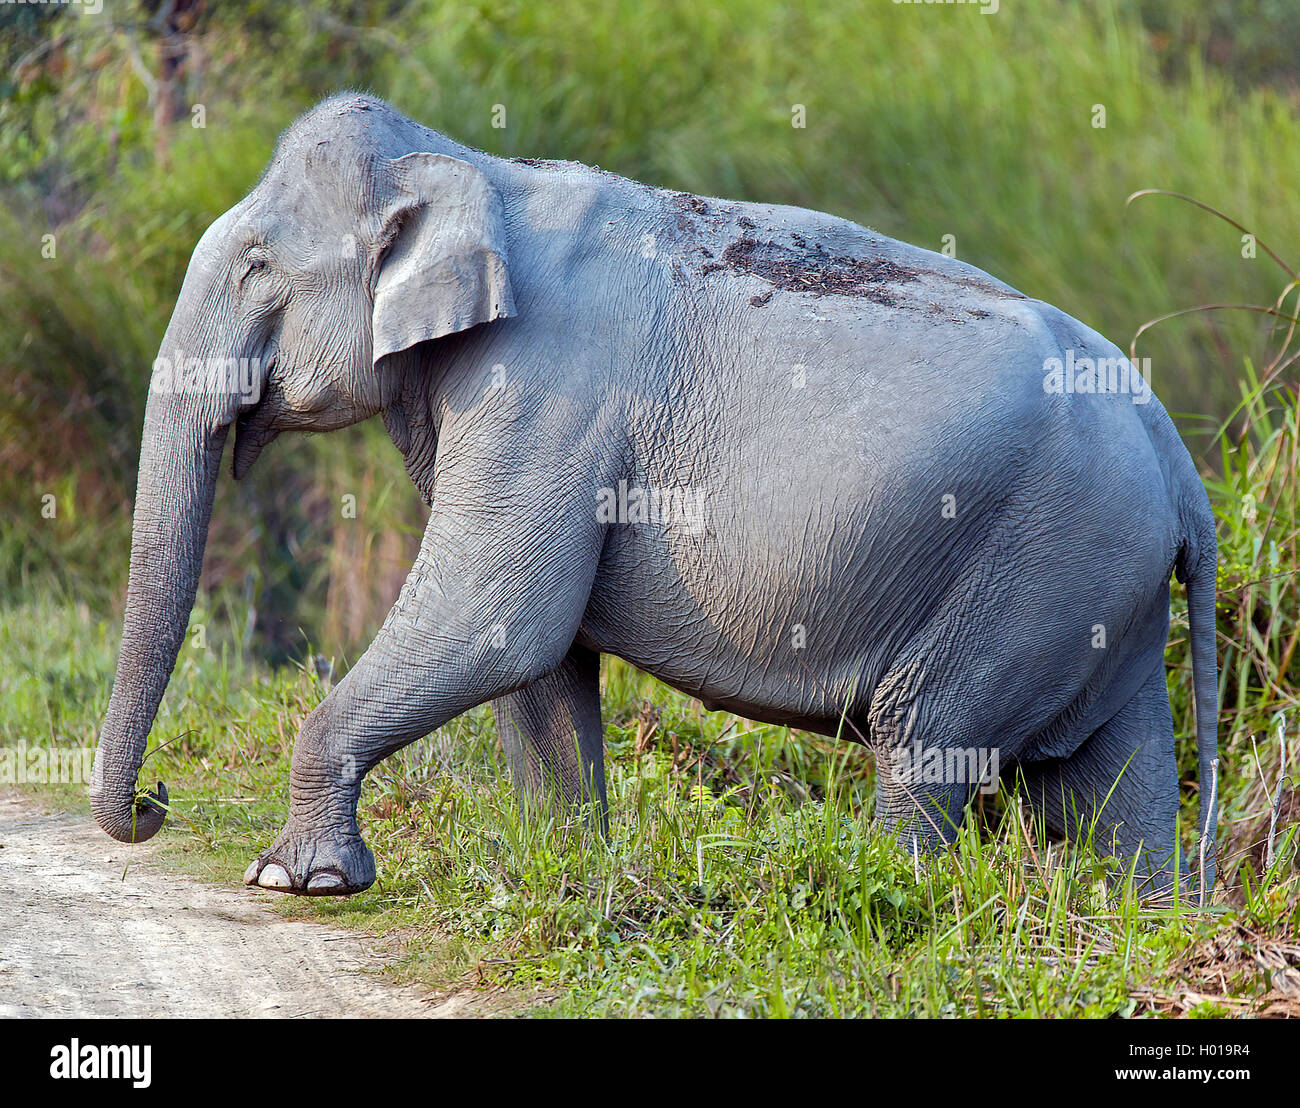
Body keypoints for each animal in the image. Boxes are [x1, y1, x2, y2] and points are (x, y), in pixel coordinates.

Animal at [90, 93, 1219, 900]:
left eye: (258, 265)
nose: (153, 804)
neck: (473, 166)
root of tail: (1179, 461)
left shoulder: (545, 396)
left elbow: (497, 615)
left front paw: (295, 879)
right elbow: (539, 660)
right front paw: (564, 877)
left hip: (1032, 565)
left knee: (929, 747)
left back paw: (897, 896)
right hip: (1100, 594)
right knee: (1118, 780)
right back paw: (1151, 924)